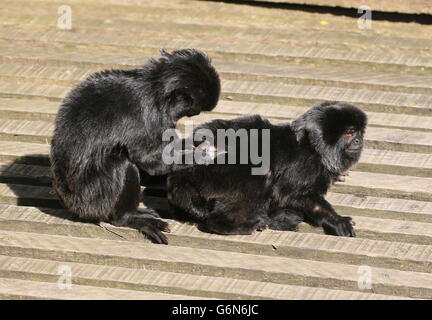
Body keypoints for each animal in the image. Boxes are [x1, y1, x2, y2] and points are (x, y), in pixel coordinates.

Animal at [50, 48, 219, 244]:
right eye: (195, 112)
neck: (153, 91)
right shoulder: (148, 116)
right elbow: (149, 161)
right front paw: (198, 156)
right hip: (94, 201)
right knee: (121, 164)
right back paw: (128, 218)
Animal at [167, 102, 366, 238]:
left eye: (357, 132)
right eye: (348, 133)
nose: (358, 140)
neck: (314, 148)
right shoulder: (305, 165)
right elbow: (290, 194)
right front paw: (336, 219)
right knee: (263, 175)